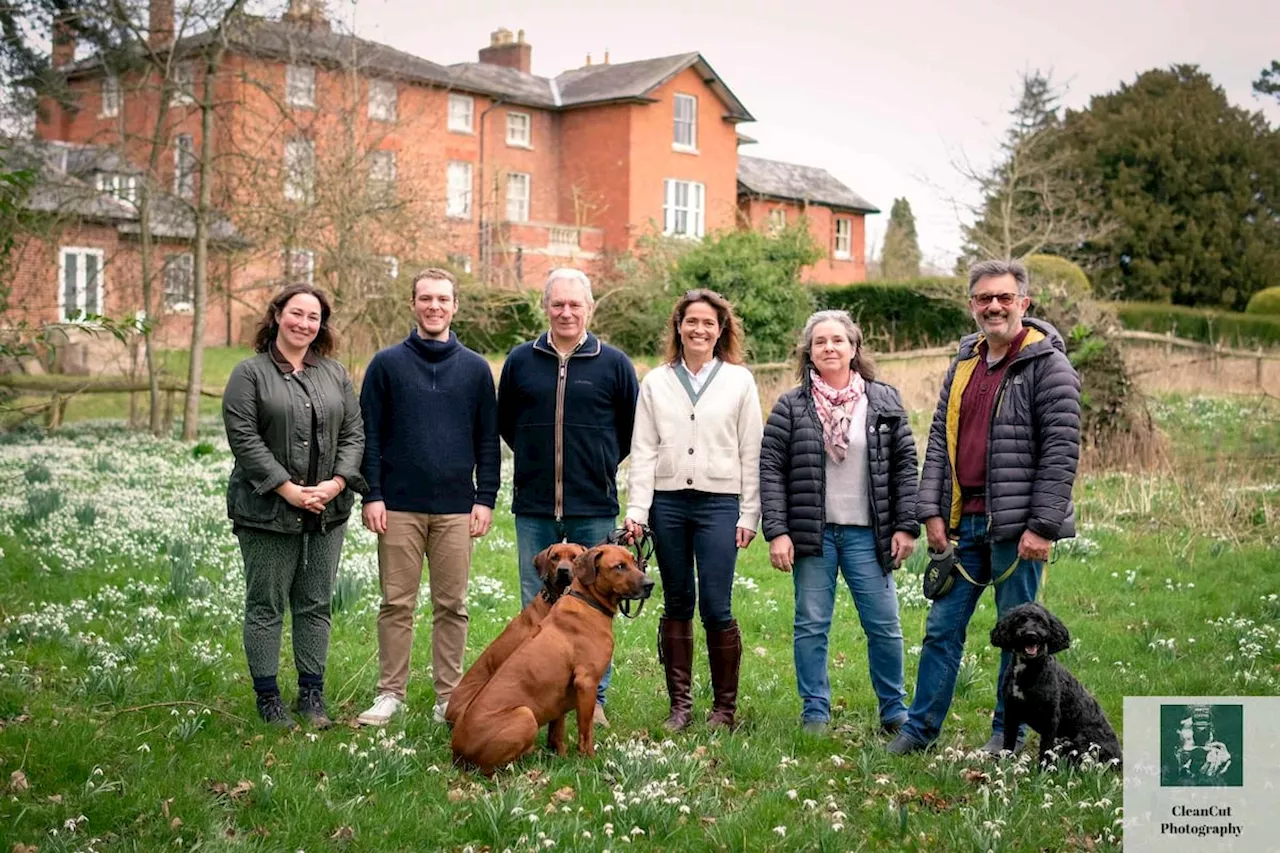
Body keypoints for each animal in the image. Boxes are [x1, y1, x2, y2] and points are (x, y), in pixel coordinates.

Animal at [988, 601, 1121, 768]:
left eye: (1041, 621)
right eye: (1020, 620)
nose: (1031, 635)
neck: (1029, 670)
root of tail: (1120, 757)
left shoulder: (1050, 718)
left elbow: (1045, 749)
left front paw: (1043, 770)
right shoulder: (1012, 712)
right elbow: (1008, 743)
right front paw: (1005, 764)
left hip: (1082, 741)